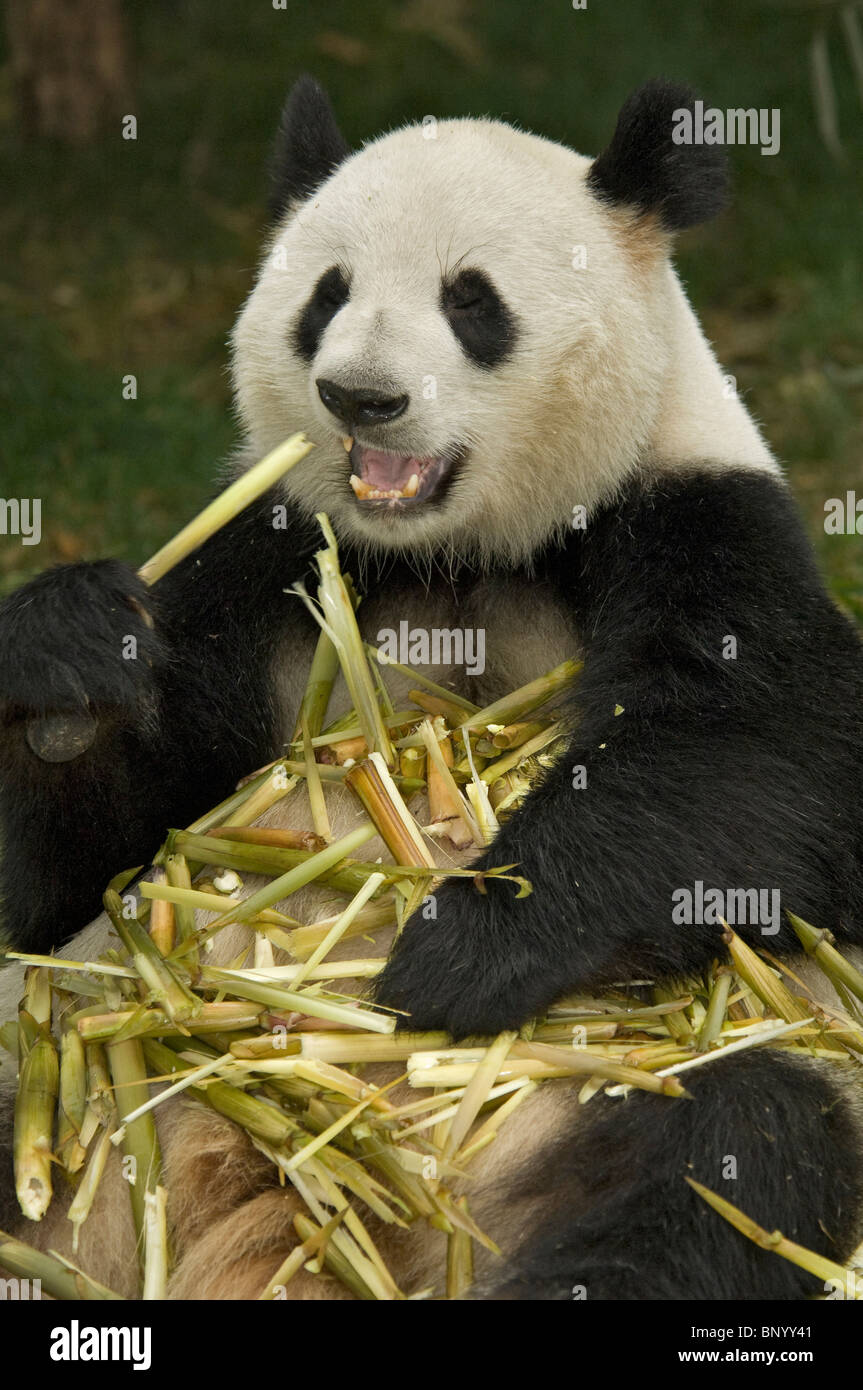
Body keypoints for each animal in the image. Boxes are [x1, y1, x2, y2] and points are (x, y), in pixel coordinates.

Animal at [1, 78, 861, 1301]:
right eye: (326, 294)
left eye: (471, 301)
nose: (358, 398)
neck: (457, 554)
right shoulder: (276, 560)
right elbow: (85, 870)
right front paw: (69, 672)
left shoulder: (698, 521)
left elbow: (753, 767)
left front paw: (457, 952)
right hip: (70, 1102)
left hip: (572, 1105)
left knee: (733, 1149)